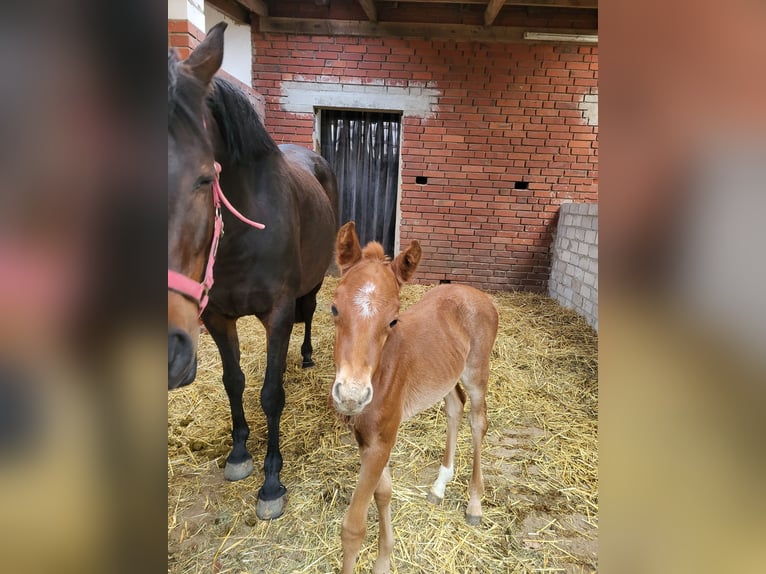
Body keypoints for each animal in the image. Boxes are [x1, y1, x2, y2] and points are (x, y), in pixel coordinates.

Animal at [168, 24, 340, 520]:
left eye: (205, 178)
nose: (171, 353)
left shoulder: (278, 313)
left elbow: (270, 393)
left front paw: (271, 482)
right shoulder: (215, 316)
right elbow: (234, 382)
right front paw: (240, 452)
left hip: (312, 284)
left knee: (311, 313)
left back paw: (307, 355)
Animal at [332, 223, 500, 572]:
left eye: (393, 320)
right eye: (334, 308)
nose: (352, 395)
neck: (381, 372)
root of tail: (477, 294)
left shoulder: (382, 440)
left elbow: (354, 527)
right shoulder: (367, 439)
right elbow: (384, 492)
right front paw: (384, 559)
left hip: (477, 372)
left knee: (478, 421)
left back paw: (474, 504)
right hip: (447, 376)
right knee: (455, 407)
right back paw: (439, 486)